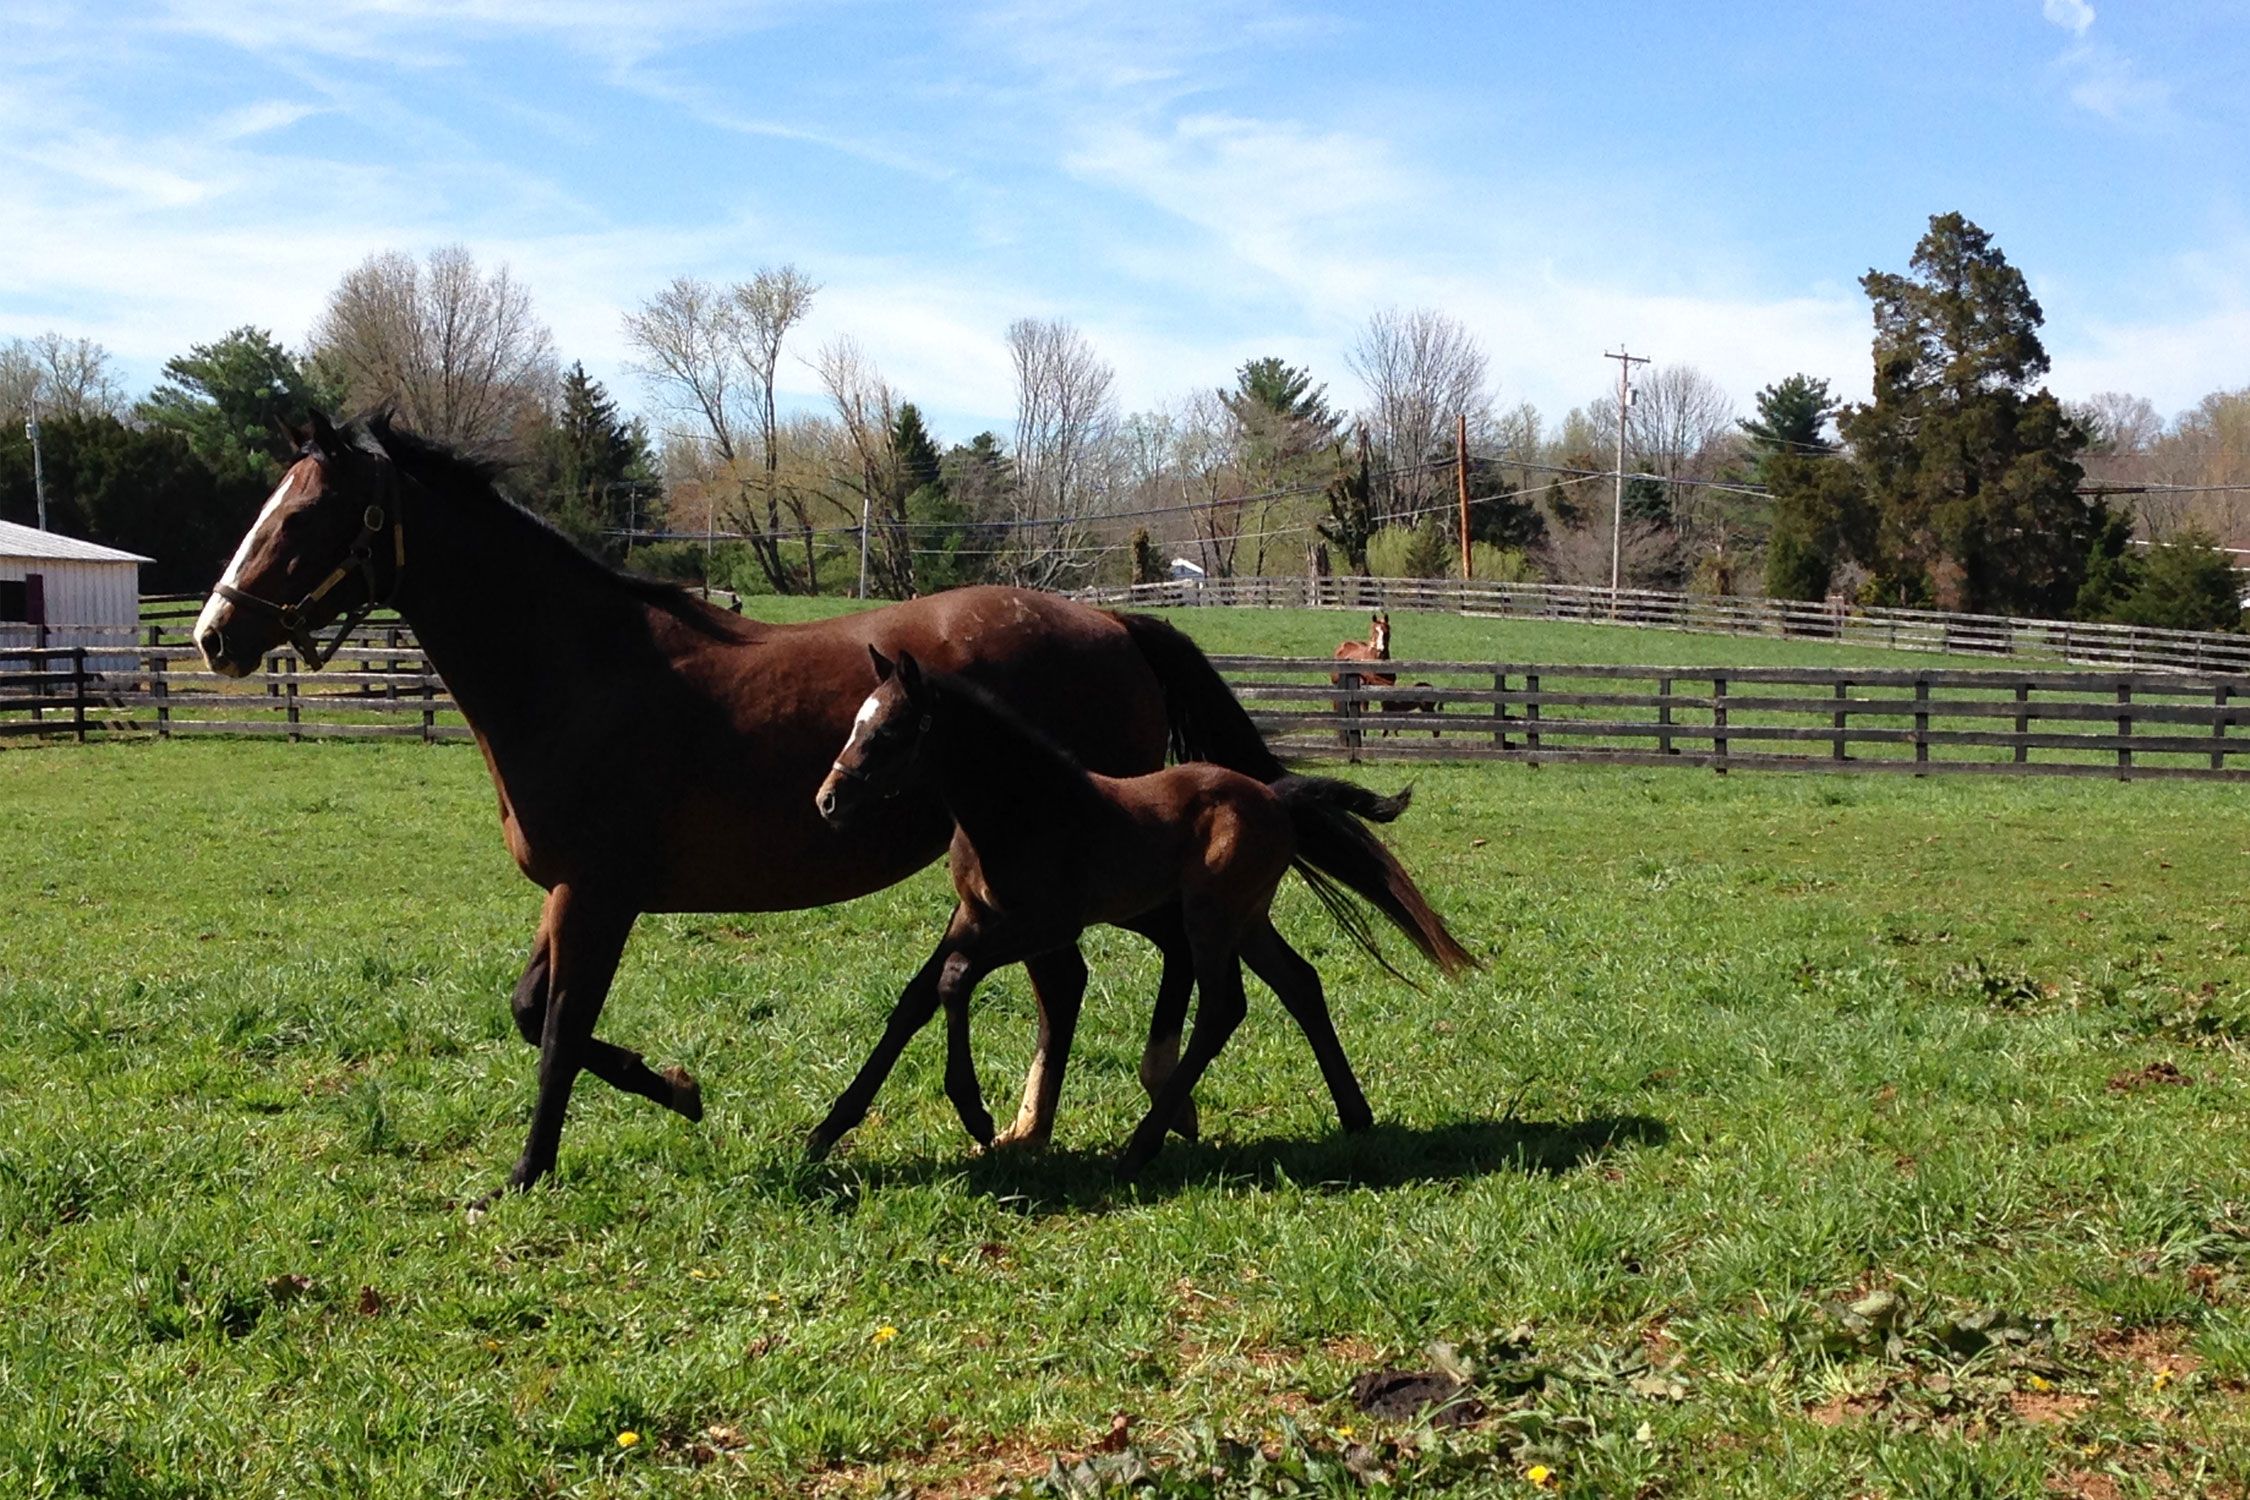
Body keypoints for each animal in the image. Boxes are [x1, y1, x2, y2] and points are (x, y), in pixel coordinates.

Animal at [191, 411, 1312, 1196]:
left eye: (301, 517)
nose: (213, 635)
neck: (582, 666)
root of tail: (1116, 626)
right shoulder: (570, 892)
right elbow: (531, 1013)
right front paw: (677, 1090)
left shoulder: (598, 895)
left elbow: (557, 1032)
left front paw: (525, 1173)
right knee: (1065, 985)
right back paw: (1032, 1128)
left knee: (1069, 983)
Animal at [812, 648, 1473, 1172]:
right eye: (857, 723)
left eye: (891, 728)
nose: (828, 799)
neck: (1021, 808)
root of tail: (1274, 796)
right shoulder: (972, 917)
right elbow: (923, 995)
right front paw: (833, 1127)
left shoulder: (1045, 925)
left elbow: (954, 979)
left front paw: (974, 1113)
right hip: (1246, 921)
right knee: (1300, 983)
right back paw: (1353, 1113)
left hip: (1210, 917)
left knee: (1225, 1007)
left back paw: (1143, 1144)